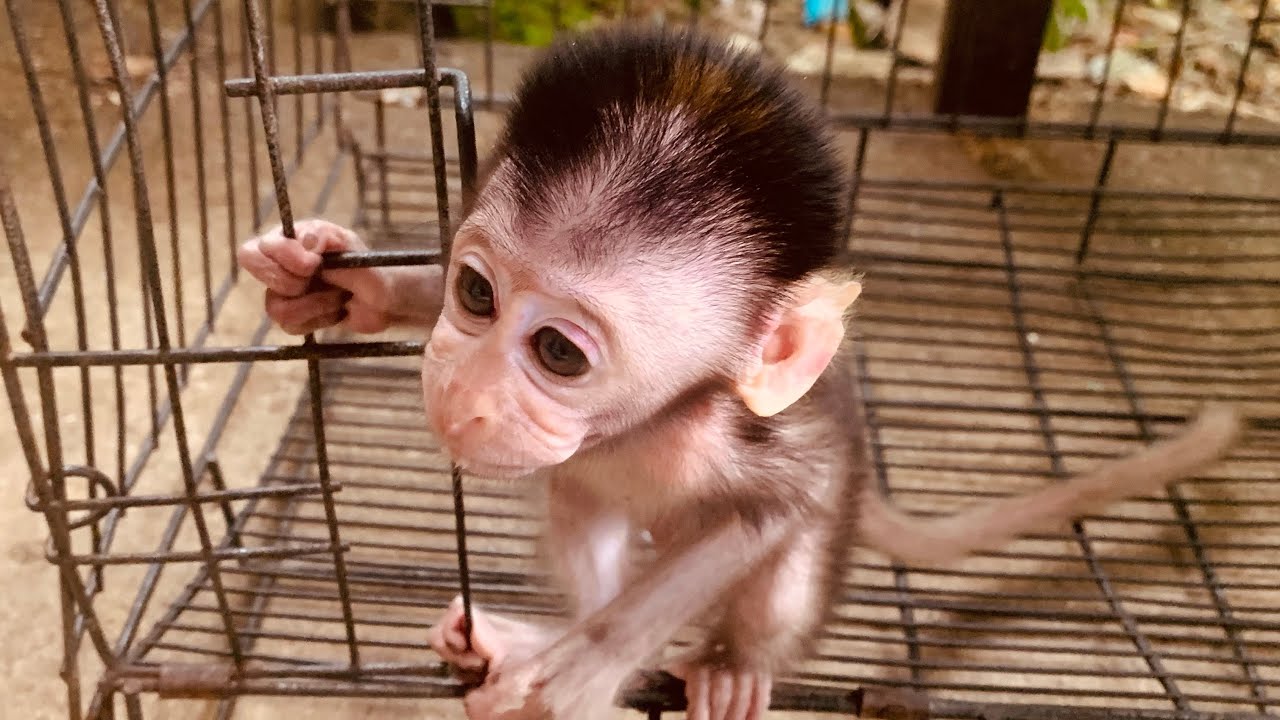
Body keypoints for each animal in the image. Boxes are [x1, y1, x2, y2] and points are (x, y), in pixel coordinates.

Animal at [237, 26, 1244, 720]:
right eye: (476, 293)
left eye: (558, 352)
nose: (464, 397)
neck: (646, 422)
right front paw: (341, 286)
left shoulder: (732, 440)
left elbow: (767, 512)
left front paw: (590, 660)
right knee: (580, 507)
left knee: (782, 564)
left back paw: (726, 668)